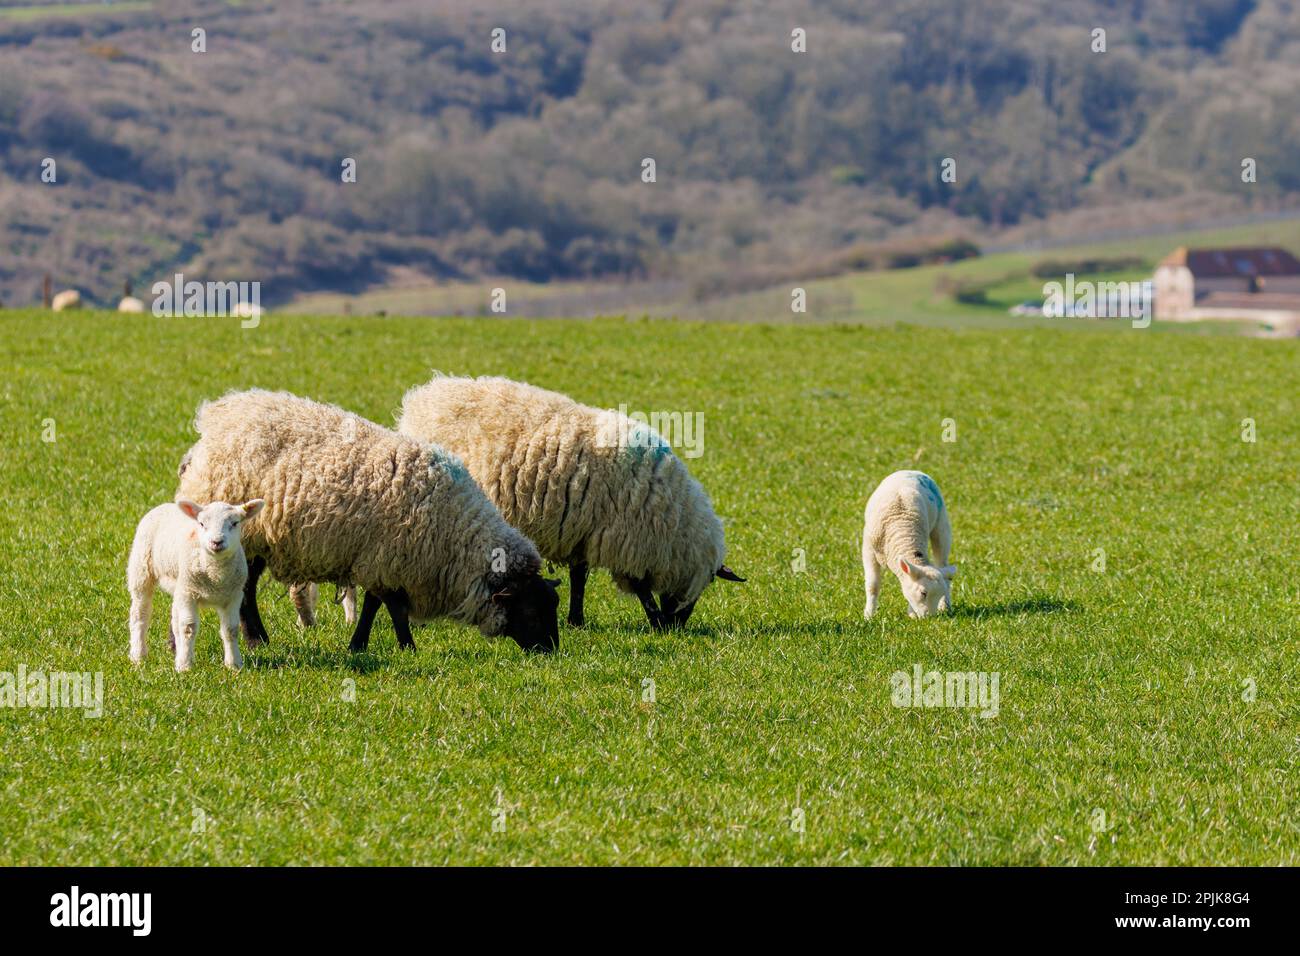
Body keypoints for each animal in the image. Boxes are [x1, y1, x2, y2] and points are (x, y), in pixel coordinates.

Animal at [128, 498, 265, 672]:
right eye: (201, 524)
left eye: (235, 523)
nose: (216, 542)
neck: (215, 575)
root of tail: (165, 505)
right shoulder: (189, 593)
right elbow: (188, 628)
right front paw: (186, 666)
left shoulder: (233, 596)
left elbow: (231, 629)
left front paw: (234, 664)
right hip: (142, 570)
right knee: (140, 613)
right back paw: (138, 656)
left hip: (179, 585)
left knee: (175, 621)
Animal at [176, 389, 560, 653]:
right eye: (531, 608)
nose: (552, 652)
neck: (456, 529)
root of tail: (210, 425)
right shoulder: (386, 559)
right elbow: (389, 607)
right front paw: (399, 645)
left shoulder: (384, 560)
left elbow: (378, 605)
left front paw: (368, 644)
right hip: (249, 535)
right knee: (247, 589)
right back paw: (256, 638)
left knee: (248, 586)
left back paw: (259, 637)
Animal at [396, 375, 744, 631]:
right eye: (705, 585)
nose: (677, 627)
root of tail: (424, 397)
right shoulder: (625, 538)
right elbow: (640, 586)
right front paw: (656, 620)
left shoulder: (585, 532)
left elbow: (579, 579)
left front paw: (576, 619)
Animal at [862, 470, 956, 619]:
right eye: (923, 593)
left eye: (939, 594)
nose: (930, 618)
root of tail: (912, 471)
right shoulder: (869, 550)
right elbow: (872, 585)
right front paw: (869, 616)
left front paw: (912, 614)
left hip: (942, 526)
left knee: (943, 564)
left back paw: (945, 606)